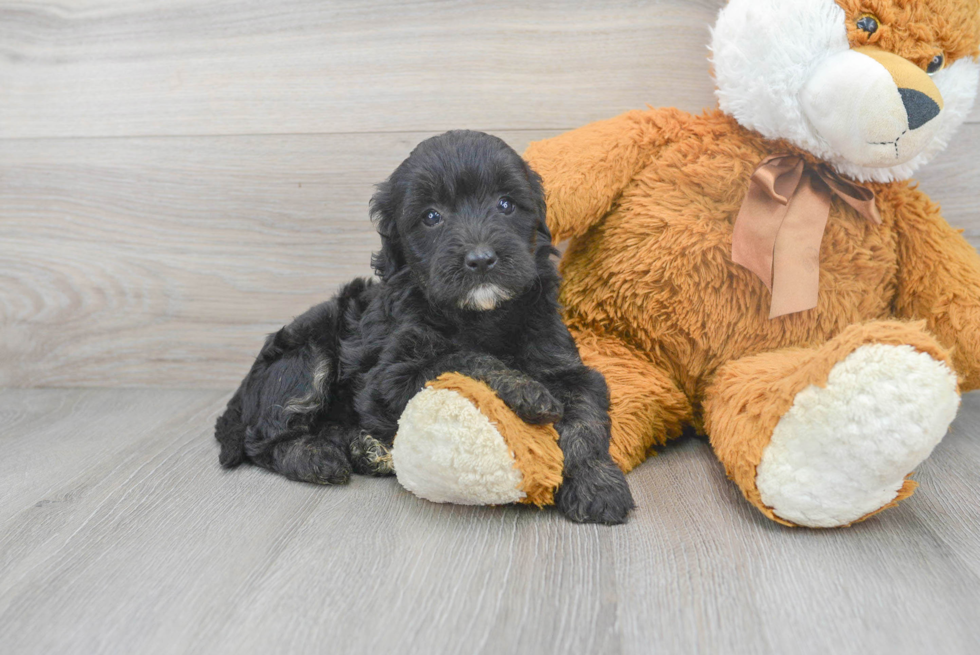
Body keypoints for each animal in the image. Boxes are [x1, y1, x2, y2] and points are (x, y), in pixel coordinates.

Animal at [214, 131, 636, 524]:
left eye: (506, 204)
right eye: (431, 216)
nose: (480, 259)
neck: (481, 315)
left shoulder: (568, 366)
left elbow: (586, 421)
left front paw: (597, 484)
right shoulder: (392, 377)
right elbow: (464, 359)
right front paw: (528, 391)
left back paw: (367, 450)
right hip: (305, 356)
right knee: (263, 437)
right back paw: (315, 457)